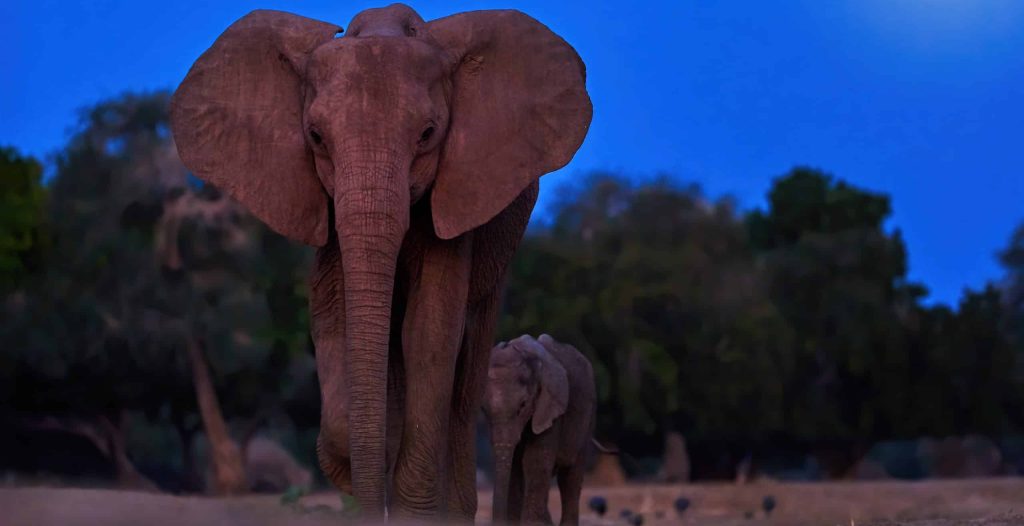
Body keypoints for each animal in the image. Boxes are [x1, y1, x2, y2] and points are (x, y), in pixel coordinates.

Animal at [484, 334, 598, 525]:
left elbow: (534, 461)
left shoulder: (551, 407)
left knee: (570, 477)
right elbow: (515, 465)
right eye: (483, 409)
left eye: (523, 405)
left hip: (588, 417)